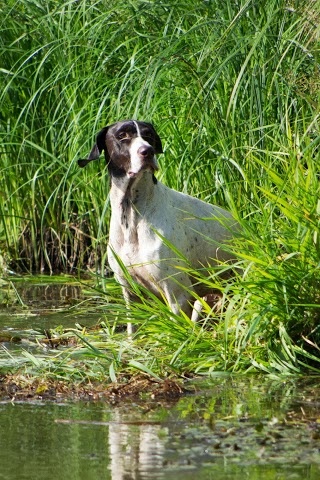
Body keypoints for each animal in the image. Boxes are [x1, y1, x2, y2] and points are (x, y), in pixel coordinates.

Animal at [79, 119, 239, 330]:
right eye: (122, 135)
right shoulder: (131, 294)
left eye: (148, 135)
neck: (132, 215)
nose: (147, 151)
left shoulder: (177, 295)